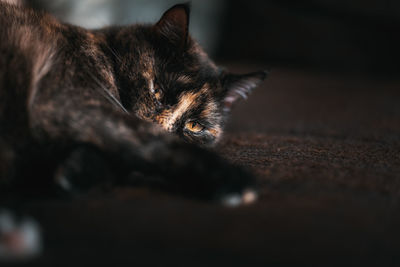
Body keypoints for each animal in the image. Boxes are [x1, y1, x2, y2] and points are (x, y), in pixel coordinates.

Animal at [0, 2, 268, 205]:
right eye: (157, 91)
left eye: (194, 126)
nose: (159, 127)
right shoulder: (68, 98)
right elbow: (142, 138)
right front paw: (234, 179)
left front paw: (76, 172)